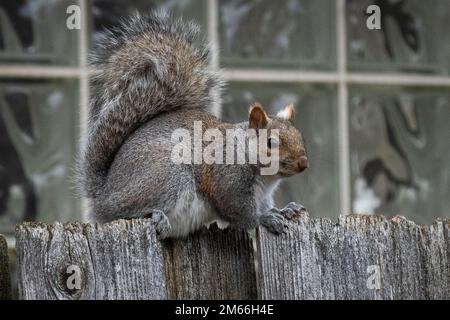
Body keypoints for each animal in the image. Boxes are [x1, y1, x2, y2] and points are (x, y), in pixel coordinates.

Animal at [77, 11, 310, 238]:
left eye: (300, 137)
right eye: (271, 143)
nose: (303, 163)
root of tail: (104, 193)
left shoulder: (263, 195)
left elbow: (265, 206)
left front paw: (285, 209)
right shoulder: (227, 179)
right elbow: (240, 212)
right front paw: (265, 219)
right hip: (166, 173)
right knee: (126, 212)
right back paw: (156, 216)